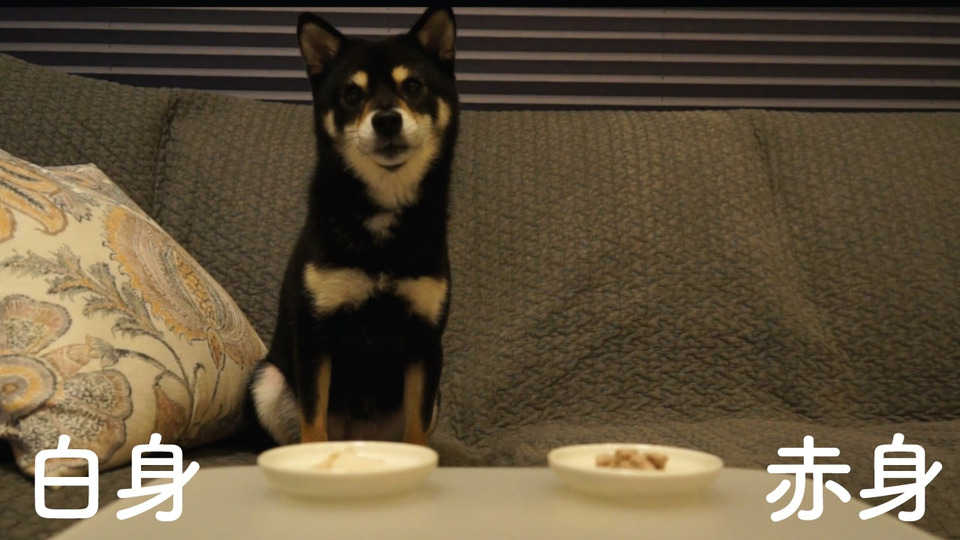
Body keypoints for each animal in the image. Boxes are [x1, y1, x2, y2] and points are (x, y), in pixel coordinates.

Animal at [246, 8, 459, 447]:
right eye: (352, 94)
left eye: (413, 86)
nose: (387, 120)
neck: (382, 212)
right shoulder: (314, 337)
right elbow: (313, 422)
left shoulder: (426, 343)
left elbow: (417, 430)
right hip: (268, 379)